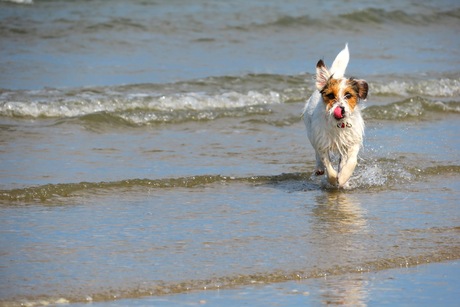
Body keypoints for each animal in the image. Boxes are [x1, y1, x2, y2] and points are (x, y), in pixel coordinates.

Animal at [302, 43, 370, 188]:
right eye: (330, 96)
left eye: (348, 95)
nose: (341, 109)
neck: (338, 125)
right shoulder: (322, 142)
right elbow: (327, 164)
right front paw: (333, 179)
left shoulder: (351, 142)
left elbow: (351, 162)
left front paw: (344, 178)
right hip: (312, 134)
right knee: (317, 155)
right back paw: (319, 168)